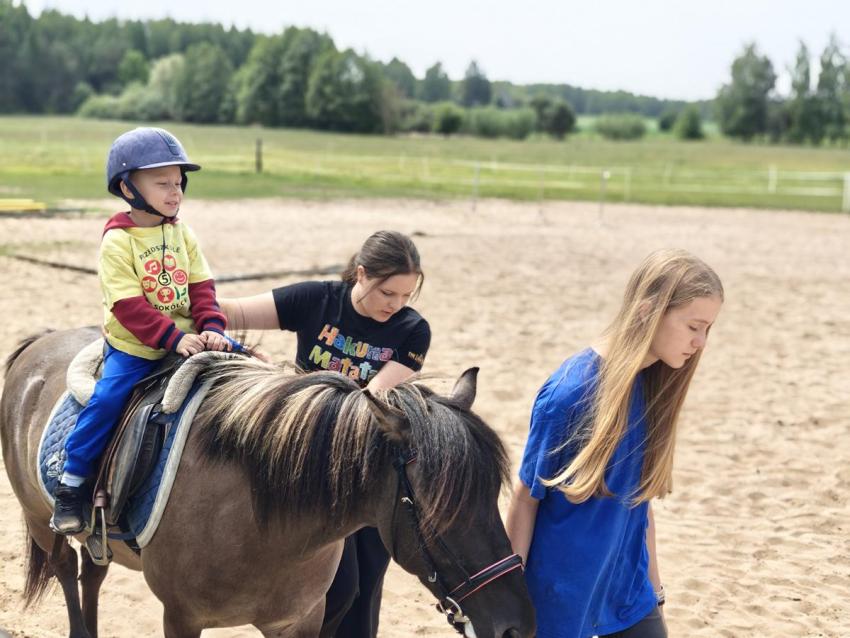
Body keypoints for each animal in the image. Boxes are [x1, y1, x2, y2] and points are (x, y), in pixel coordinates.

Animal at [0, 327, 535, 638]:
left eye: (492, 498)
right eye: (441, 509)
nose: (518, 626)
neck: (259, 517)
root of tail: (41, 341)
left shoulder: (298, 621)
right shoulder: (181, 619)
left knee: (92, 573)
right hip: (42, 521)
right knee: (66, 569)